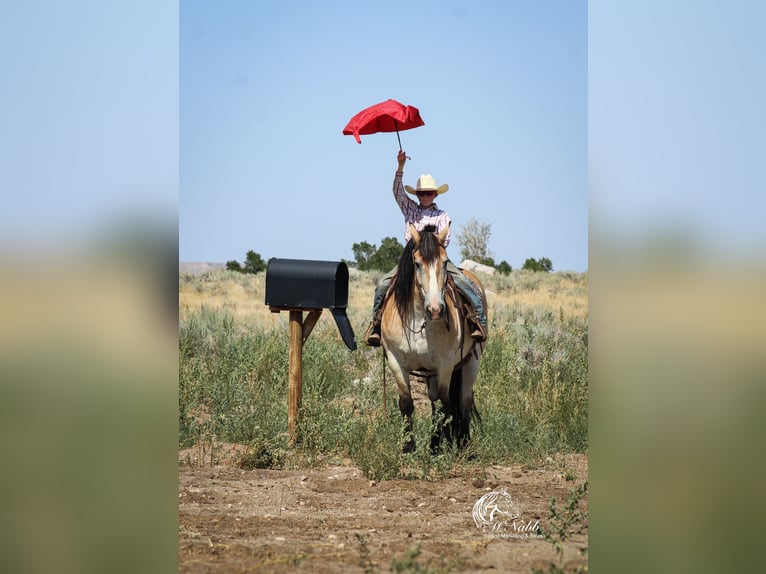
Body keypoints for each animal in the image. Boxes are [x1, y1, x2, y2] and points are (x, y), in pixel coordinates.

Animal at [380, 223, 487, 453]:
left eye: (445, 262)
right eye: (417, 264)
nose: (436, 309)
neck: (419, 318)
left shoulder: (445, 363)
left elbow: (445, 404)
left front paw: (446, 446)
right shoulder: (395, 359)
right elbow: (407, 402)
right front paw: (408, 446)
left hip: (471, 362)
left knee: (463, 401)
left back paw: (462, 443)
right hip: (431, 372)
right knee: (433, 400)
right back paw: (435, 444)